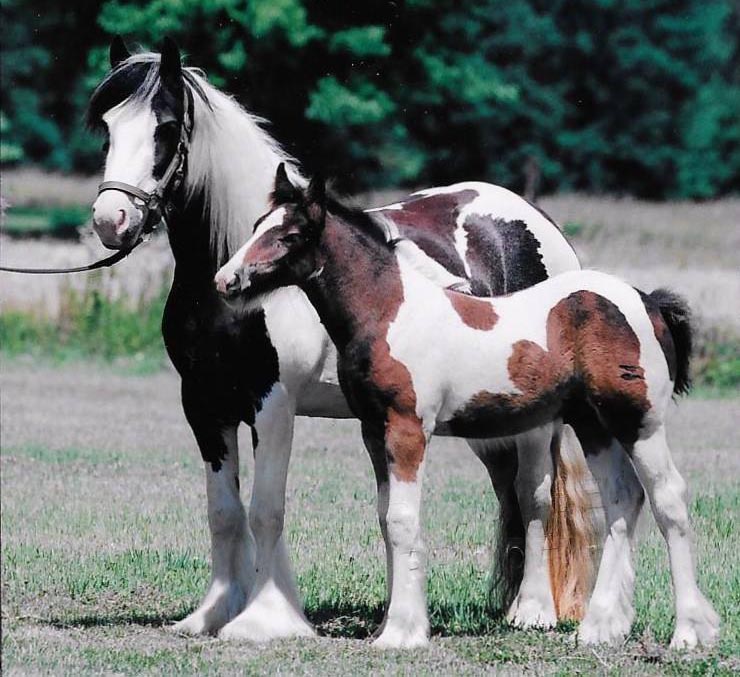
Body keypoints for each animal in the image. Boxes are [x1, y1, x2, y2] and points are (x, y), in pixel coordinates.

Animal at [89, 38, 636, 644]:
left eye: (164, 128)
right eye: (108, 127)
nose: (111, 220)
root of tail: (536, 221)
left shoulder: (272, 404)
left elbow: (265, 510)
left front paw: (268, 617)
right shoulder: (206, 407)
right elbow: (225, 512)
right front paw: (215, 611)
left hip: (535, 421)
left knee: (532, 491)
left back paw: (531, 610)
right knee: (507, 490)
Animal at [212, 166, 716, 648]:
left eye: (290, 235)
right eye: (257, 226)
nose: (225, 280)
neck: (389, 312)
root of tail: (648, 301)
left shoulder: (408, 429)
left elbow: (402, 521)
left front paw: (401, 634)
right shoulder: (374, 431)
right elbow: (388, 520)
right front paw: (396, 623)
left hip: (639, 422)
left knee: (669, 499)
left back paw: (690, 631)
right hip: (593, 424)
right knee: (621, 499)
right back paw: (602, 628)